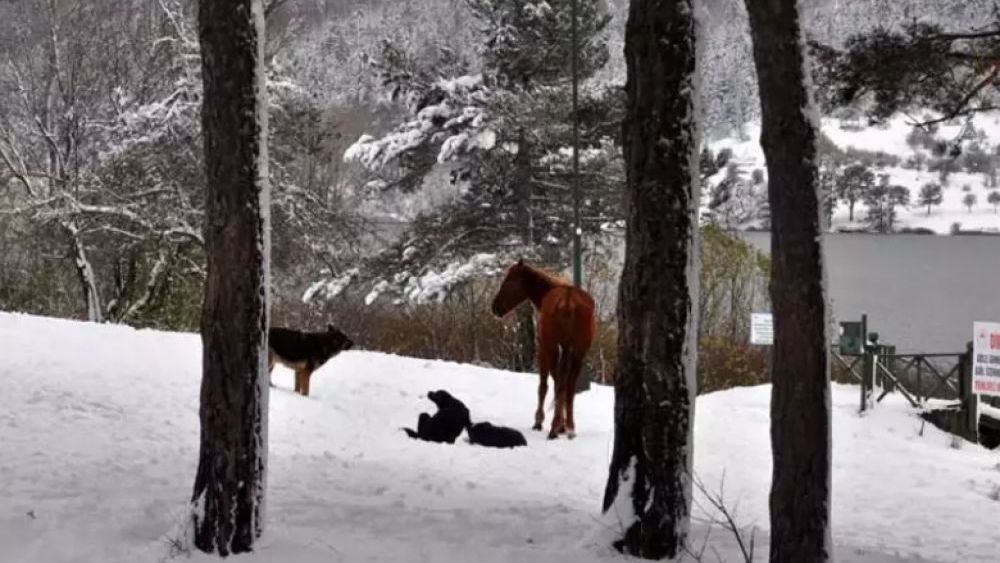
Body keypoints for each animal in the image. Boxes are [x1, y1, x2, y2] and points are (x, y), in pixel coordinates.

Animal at [490, 260, 592, 440]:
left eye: (508, 281)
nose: (495, 307)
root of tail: (568, 302)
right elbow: (560, 383)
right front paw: (562, 425)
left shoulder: (543, 348)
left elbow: (543, 386)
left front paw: (540, 421)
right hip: (578, 351)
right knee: (569, 386)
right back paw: (569, 427)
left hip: (552, 346)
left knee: (558, 384)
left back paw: (554, 428)